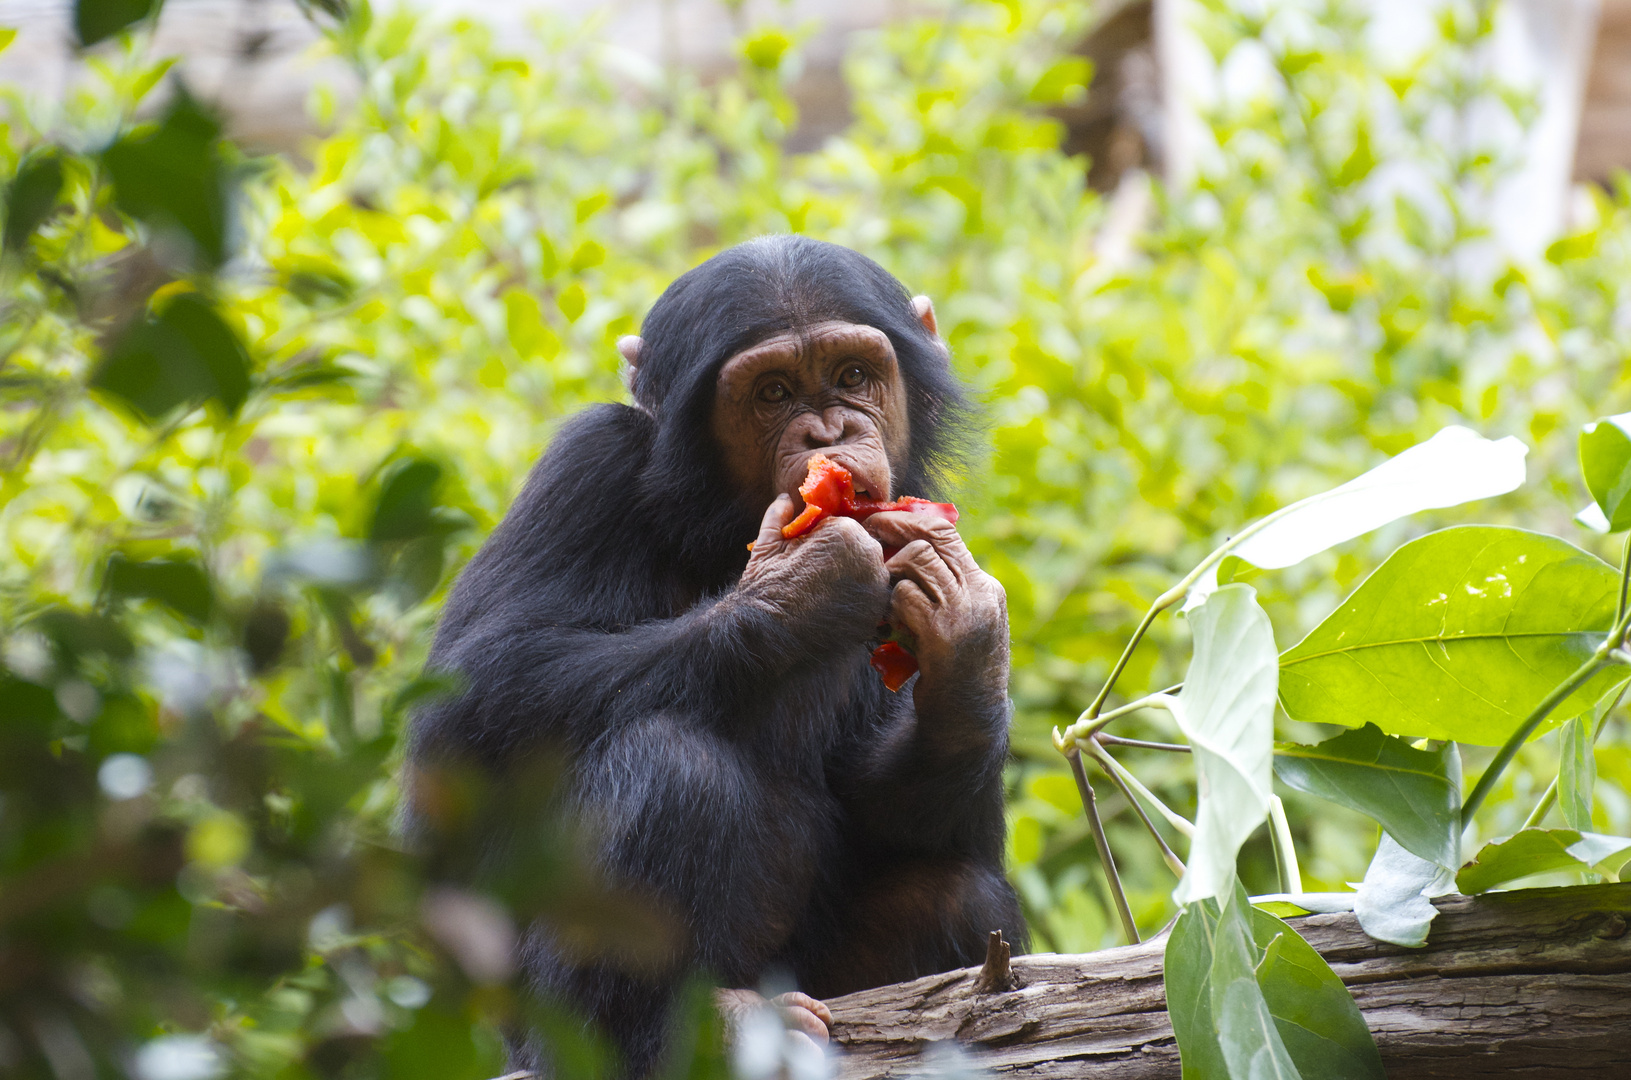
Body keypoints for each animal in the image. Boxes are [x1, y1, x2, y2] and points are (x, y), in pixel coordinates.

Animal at [407, 234, 1017, 1076]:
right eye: (772, 392)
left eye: (851, 376)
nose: (827, 437)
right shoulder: (585, 462)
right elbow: (473, 699)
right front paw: (804, 584)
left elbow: (892, 810)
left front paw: (967, 635)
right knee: (671, 762)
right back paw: (681, 1028)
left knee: (958, 893)